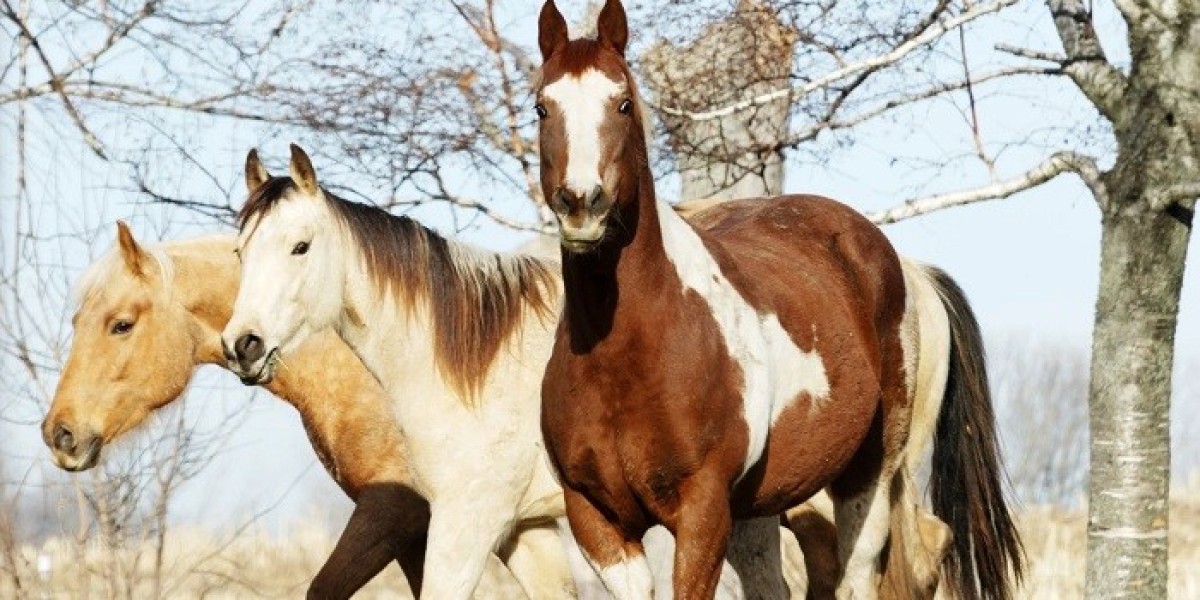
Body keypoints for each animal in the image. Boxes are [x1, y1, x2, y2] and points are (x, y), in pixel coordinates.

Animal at [219, 145, 958, 599]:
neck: (468, 363)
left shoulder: (464, 521)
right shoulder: (524, 529)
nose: (243, 344)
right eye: (239, 251)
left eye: (300, 245)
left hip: (865, 479)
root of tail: (909, 271)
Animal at [533, 1, 1022, 599]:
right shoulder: (596, 520)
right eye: (542, 107)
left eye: (622, 103)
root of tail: (899, 263)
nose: (582, 205)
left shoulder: (702, 513)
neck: (628, 359)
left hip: (871, 474)